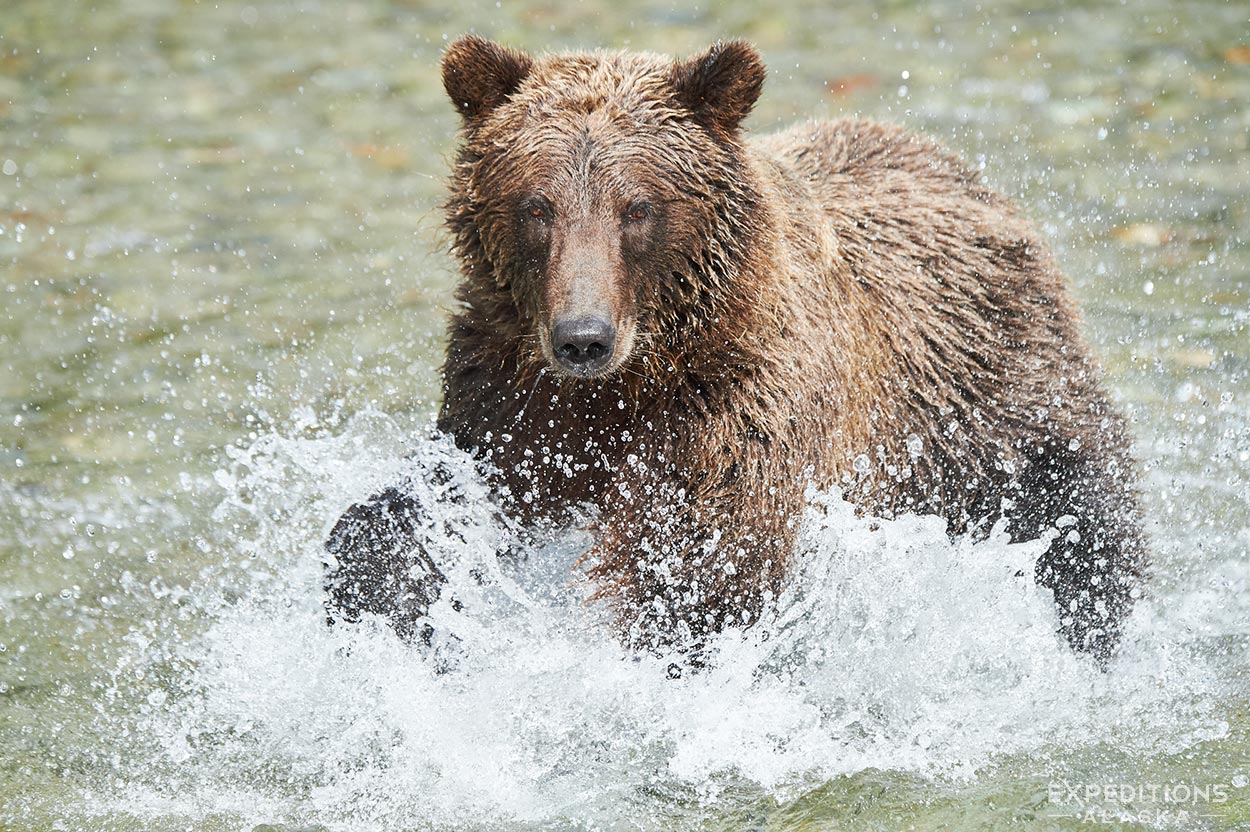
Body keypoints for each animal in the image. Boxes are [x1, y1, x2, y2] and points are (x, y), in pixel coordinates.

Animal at [327, 37, 1145, 659]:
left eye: (638, 207)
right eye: (537, 206)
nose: (582, 338)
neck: (641, 376)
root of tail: (957, 170)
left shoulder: (743, 401)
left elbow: (708, 550)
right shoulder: (511, 399)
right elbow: (435, 503)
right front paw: (378, 597)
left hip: (991, 404)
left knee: (1083, 521)